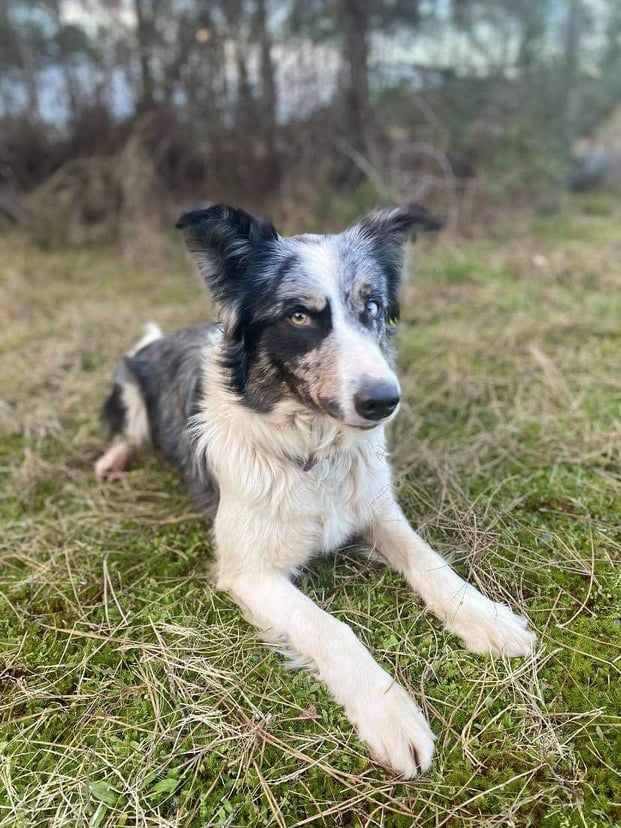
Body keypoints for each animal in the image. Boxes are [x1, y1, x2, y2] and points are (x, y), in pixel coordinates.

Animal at [94, 205, 536, 776]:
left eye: (372, 306)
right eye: (300, 316)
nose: (384, 400)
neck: (313, 451)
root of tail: (155, 341)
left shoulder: (376, 510)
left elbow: (430, 562)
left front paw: (487, 619)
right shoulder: (249, 572)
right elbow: (332, 629)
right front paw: (389, 713)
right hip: (129, 387)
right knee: (127, 430)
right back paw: (111, 461)